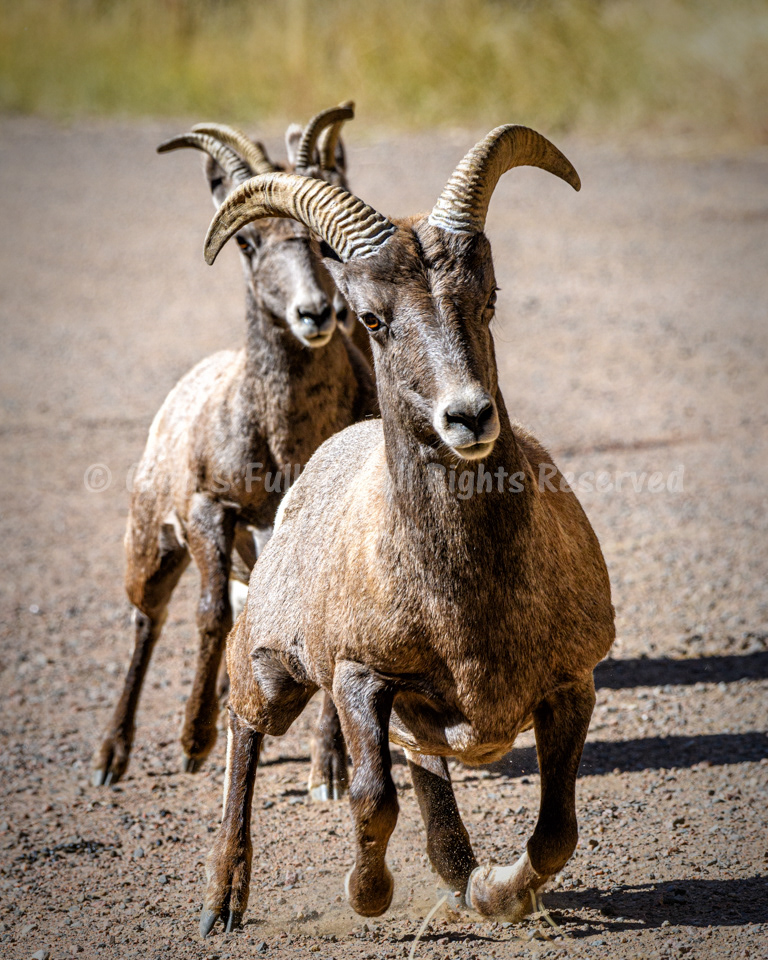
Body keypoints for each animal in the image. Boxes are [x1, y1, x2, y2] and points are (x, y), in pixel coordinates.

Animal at [91, 106, 377, 799]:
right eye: (248, 244)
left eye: (322, 245)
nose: (315, 314)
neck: (282, 441)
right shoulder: (209, 511)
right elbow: (209, 614)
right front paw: (194, 742)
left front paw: (327, 773)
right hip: (153, 544)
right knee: (148, 620)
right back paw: (112, 758)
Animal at [195, 124, 615, 935]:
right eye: (371, 318)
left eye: (487, 297)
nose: (468, 417)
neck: (466, 605)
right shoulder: (360, 680)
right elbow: (372, 800)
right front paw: (368, 896)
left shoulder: (570, 687)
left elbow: (555, 831)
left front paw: (495, 894)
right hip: (272, 672)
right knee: (246, 730)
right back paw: (221, 905)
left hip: (419, 716)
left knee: (428, 775)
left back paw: (459, 876)